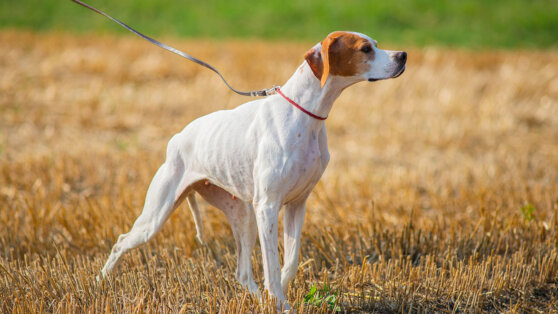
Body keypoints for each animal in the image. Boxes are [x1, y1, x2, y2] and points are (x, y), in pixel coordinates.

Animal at [100, 30, 406, 308]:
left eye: (376, 44)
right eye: (365, 48)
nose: (402, 55)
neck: (304, 114)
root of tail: (176, 138)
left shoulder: (297, 204)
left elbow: (291, 260)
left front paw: (280, 296)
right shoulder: (268, 207)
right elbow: (271, 263)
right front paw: (279, 302)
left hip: (242, 215)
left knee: (243, 273)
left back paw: (257, 299)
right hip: (156, 217)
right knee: (120, 241)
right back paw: (101, 281)